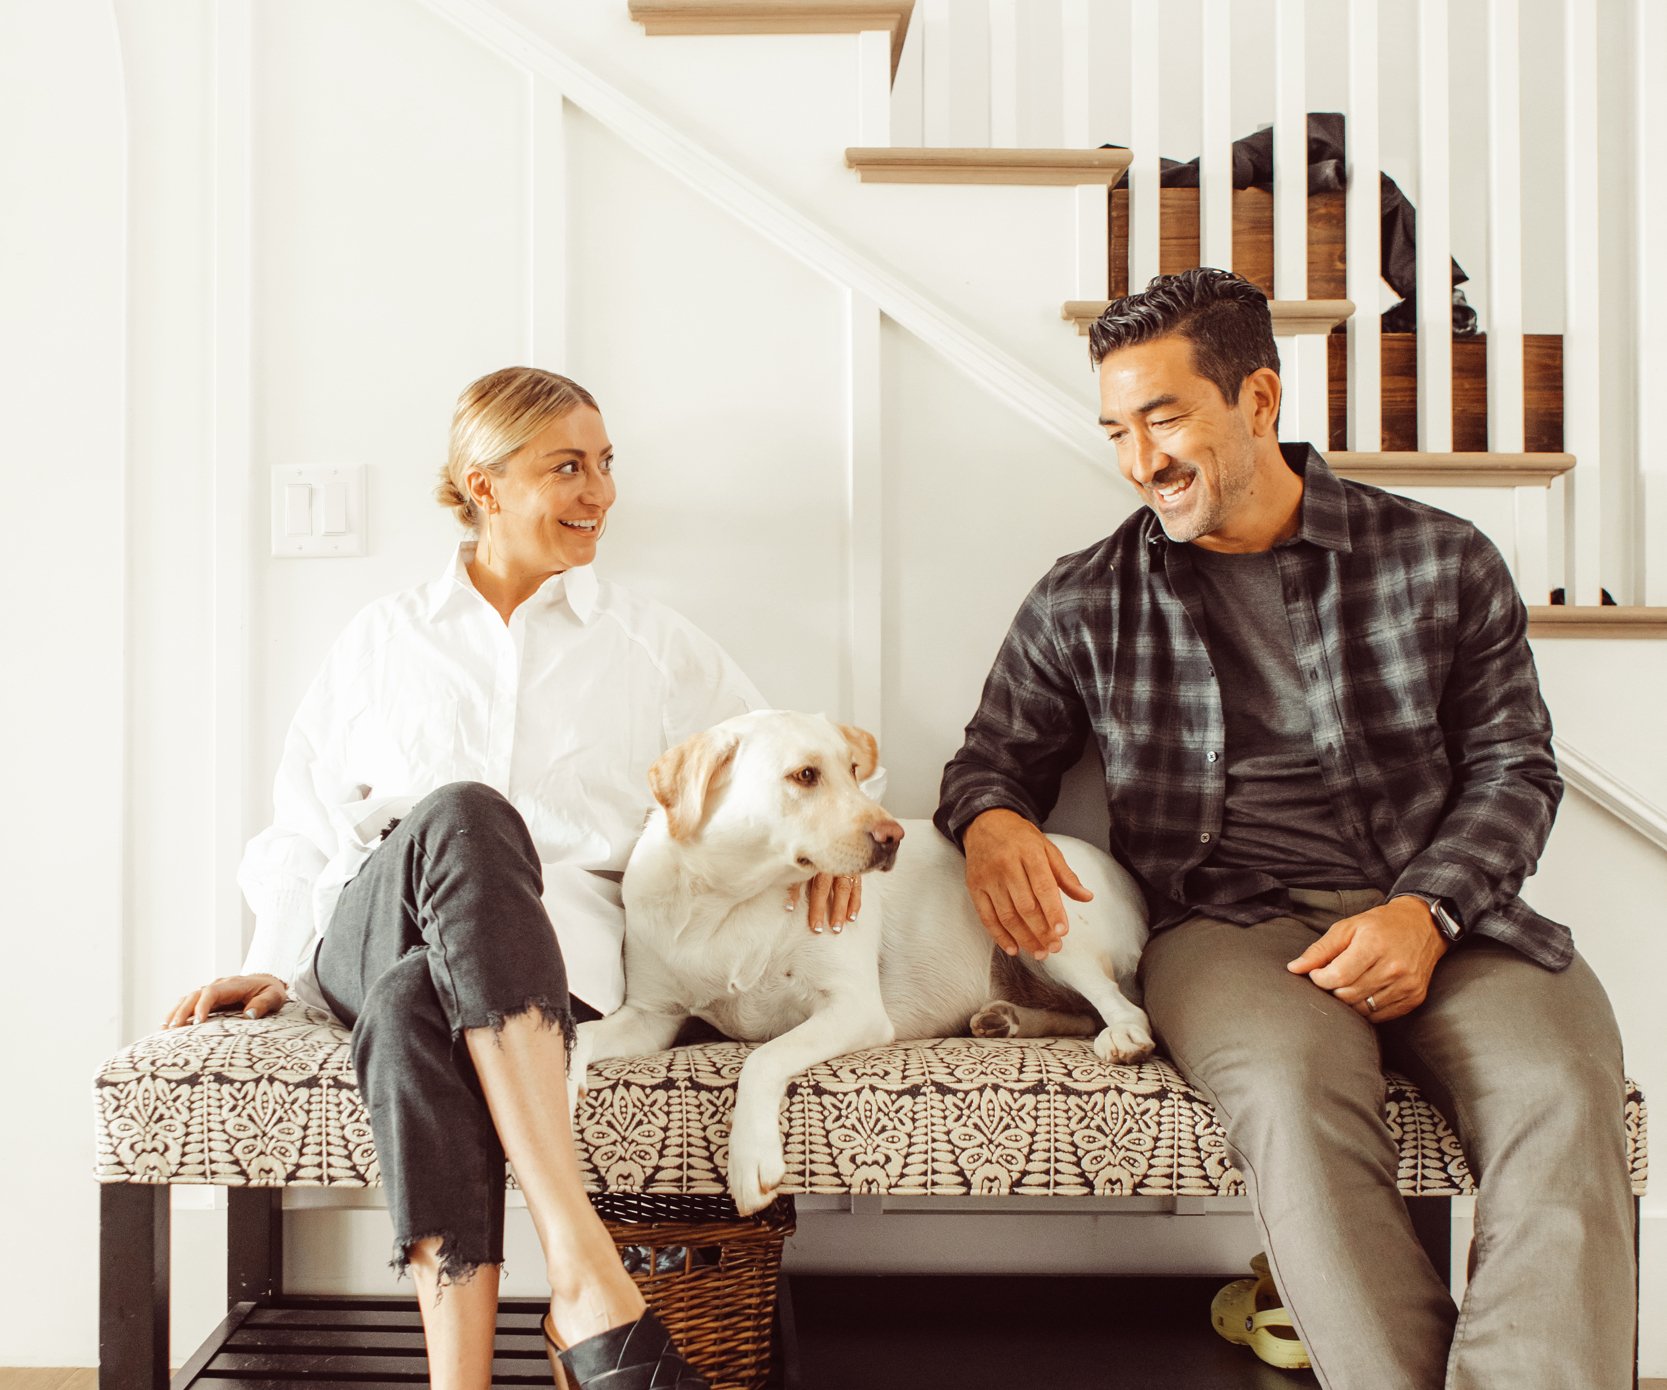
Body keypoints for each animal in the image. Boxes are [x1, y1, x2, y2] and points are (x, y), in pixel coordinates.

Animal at [570, 710, 1146, 1206]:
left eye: (852, 770)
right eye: (805, 775)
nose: (894, 837)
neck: (730, 903)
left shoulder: (853, 1008)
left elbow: (762, 1058)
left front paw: (749, 1159)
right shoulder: (650, 1018)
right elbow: (582, 1035)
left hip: (1039, 922)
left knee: (1119, 1005)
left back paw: (1121, 1037)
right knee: (1078, 1014)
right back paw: (1006, 1019)